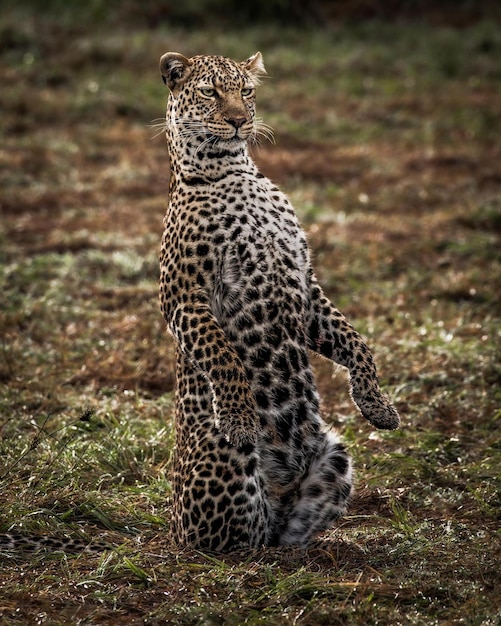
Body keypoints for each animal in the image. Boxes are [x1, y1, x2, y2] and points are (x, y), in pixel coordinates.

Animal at [156, 52, 398, 552]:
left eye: (245, 91)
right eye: (209, 92)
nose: (237, 120)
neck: (233, 171)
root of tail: (170, 527)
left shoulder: (304, 284)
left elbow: (357, 342)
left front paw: (376, 404)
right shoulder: (182, 295)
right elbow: (221, 355)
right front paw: (239, 416)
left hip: (334, 457)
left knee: (282, 531)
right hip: (227, 473)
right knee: (233, 540)